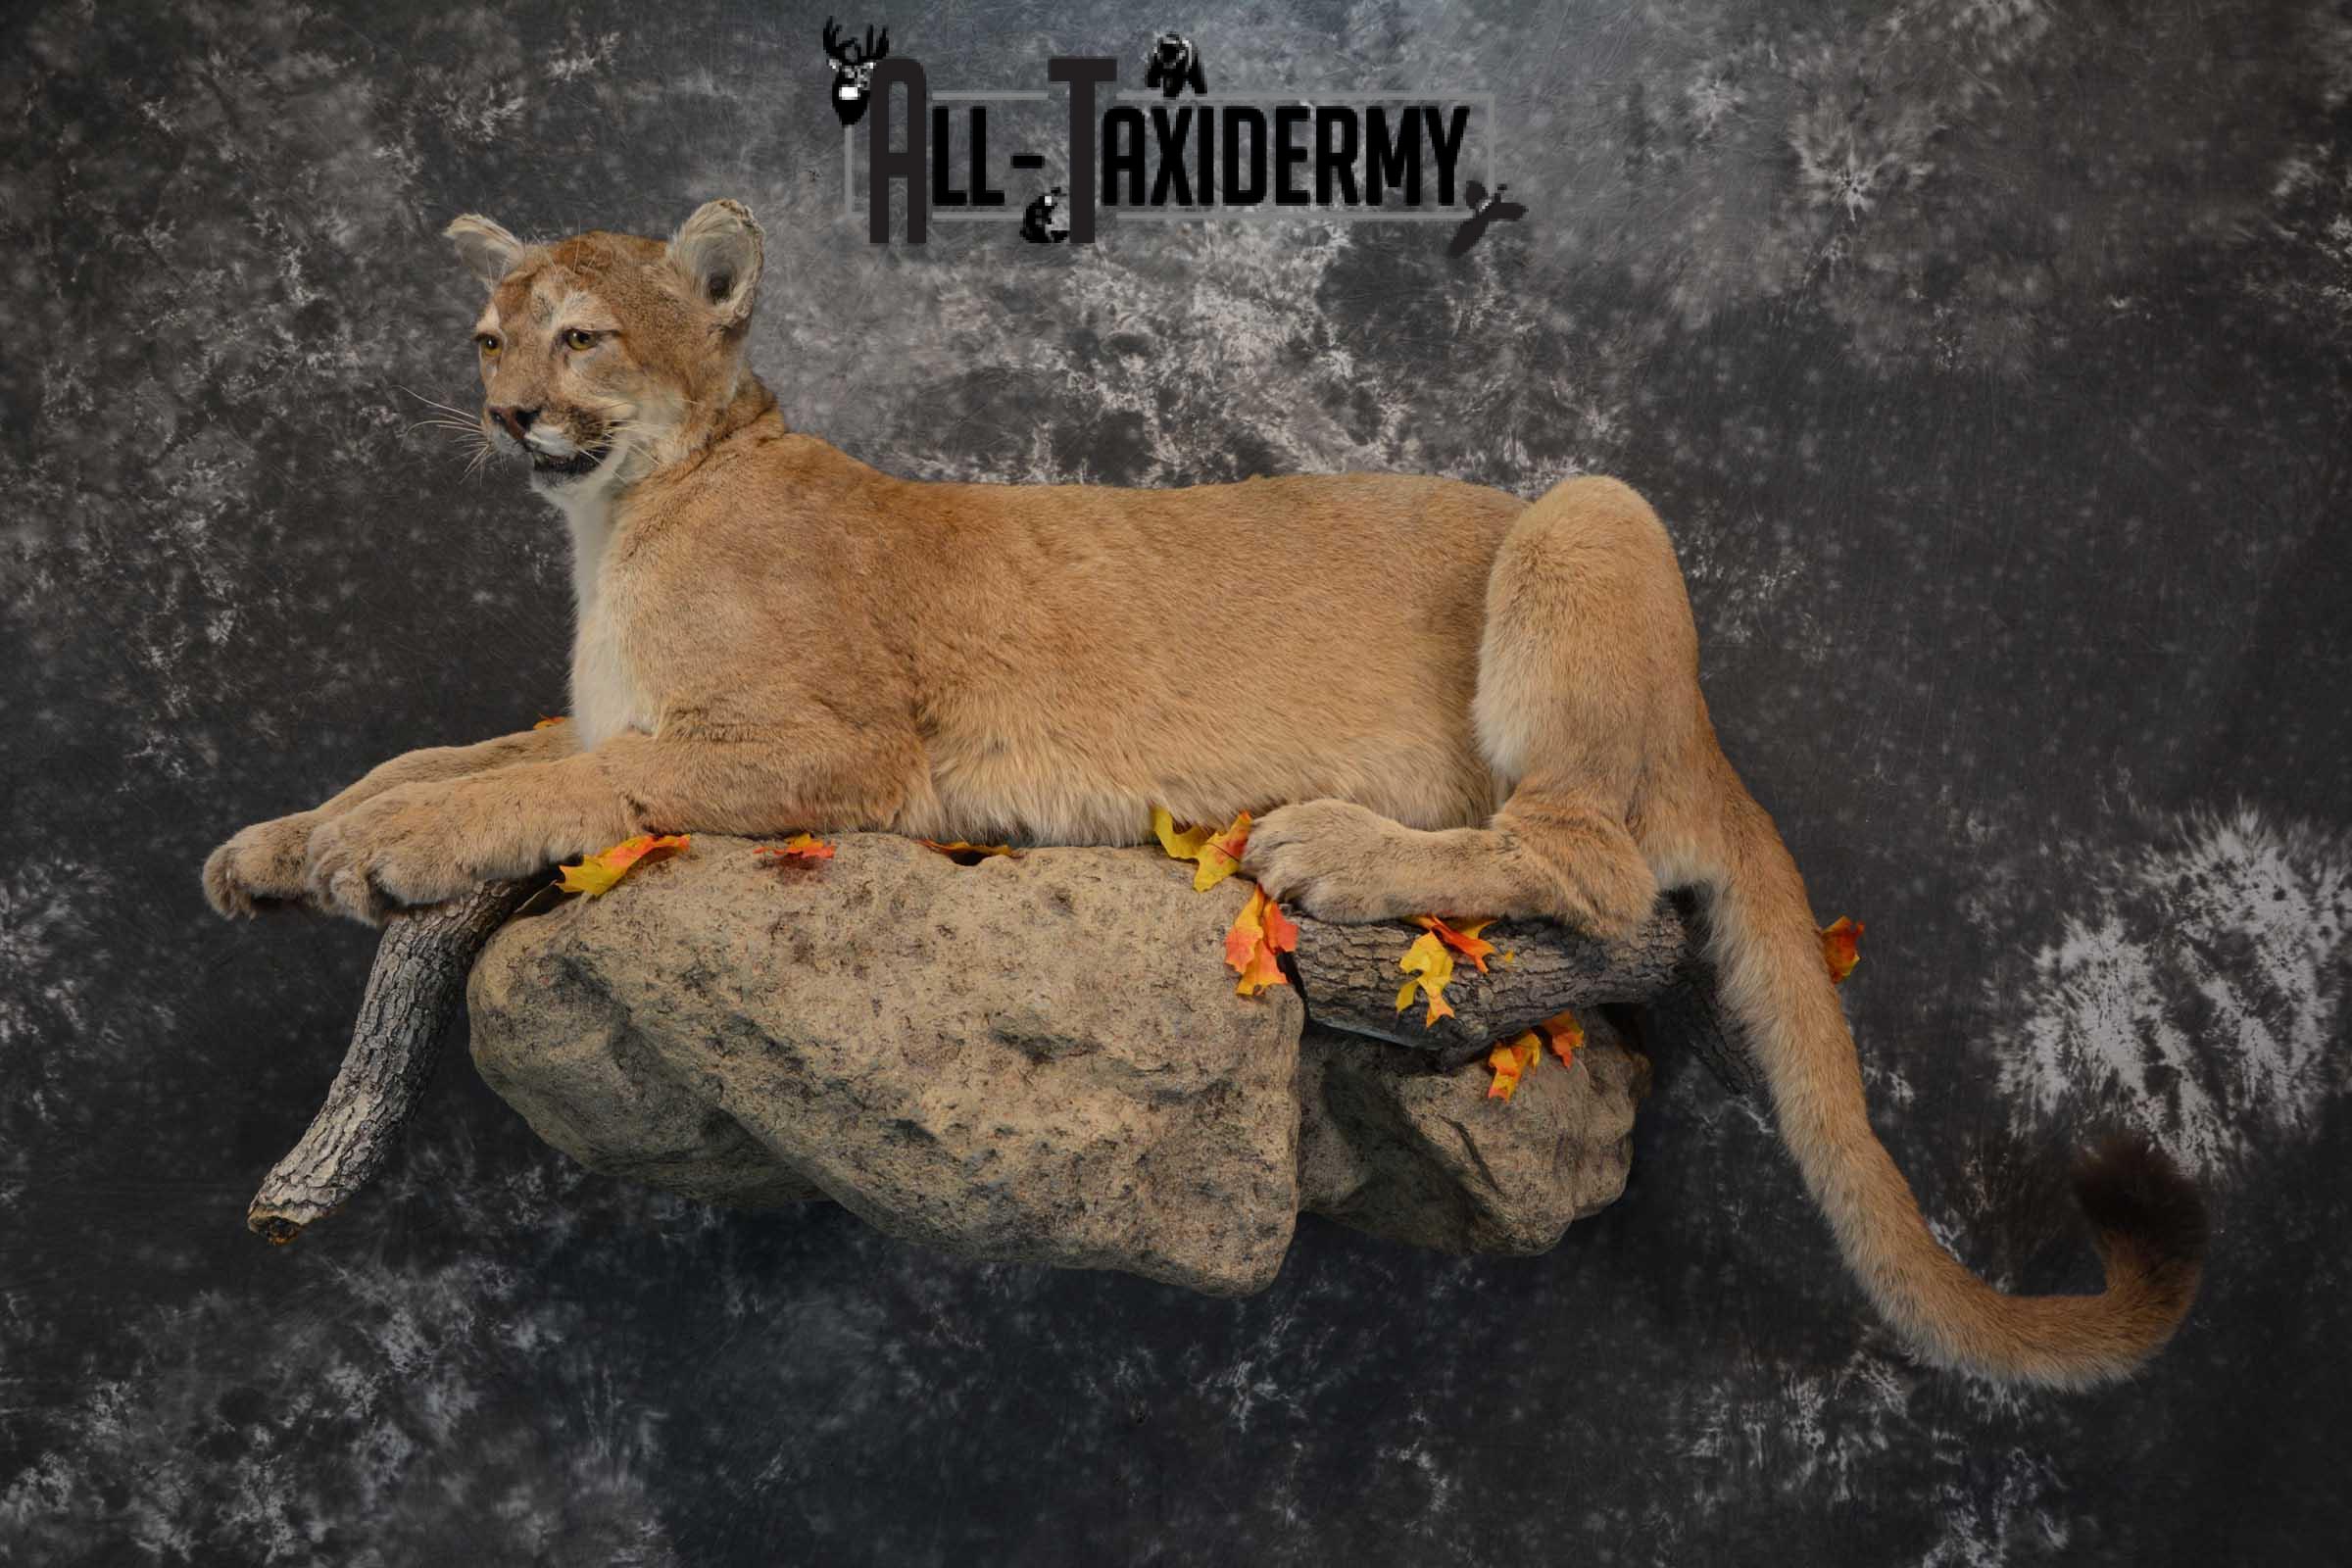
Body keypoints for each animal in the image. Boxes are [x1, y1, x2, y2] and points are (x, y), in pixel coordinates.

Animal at [201, 199, 2205, 1388]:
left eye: (585, 339)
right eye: (487, 336)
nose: (502, 418)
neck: (623, 514)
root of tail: (1714, 728)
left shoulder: (833, 748)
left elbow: (570, 781)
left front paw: (384, 851)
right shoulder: (604, 710)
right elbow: (474, 749)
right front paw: (282, 845)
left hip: (1591, 512)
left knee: (1596, 857)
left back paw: (1328, 845)